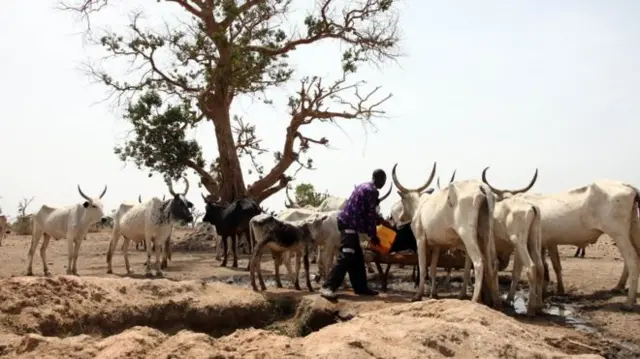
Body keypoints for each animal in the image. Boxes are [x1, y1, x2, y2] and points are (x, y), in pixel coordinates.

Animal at [392, 165, 502, 308]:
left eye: (402, 200)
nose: (400, 218)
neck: (419, 206)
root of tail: (481, 186)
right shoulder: (437, 245)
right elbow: (433, 268)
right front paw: (433, 294)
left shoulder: (420, 240)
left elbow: (423, 267)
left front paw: (418, 295)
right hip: (486, 233)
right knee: (492, 262)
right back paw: (495, 301)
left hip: (467, 234)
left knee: (478, 262)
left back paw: (474, 299)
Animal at [482, 170, 640, 310]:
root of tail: (628, 186)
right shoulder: (547, 243)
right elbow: (550, 266)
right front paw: (552, 291)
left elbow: (535, 268)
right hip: (631, 232)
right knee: (631, 259)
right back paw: (619, 287)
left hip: (618, 234)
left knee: (632, 260)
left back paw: (628, 303)